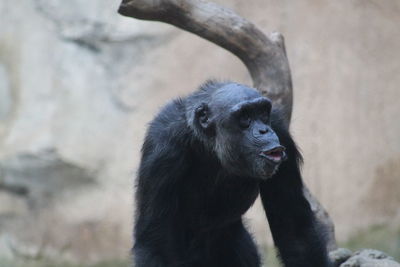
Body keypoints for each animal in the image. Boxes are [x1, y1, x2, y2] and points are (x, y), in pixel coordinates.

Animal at [134, 80, 332, 266]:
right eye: (245, 116)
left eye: (262, 113)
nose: (264, 130)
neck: (211, 145)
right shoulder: (162, 149)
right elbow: (157, 244)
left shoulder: (280, 130)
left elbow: (294, 225)